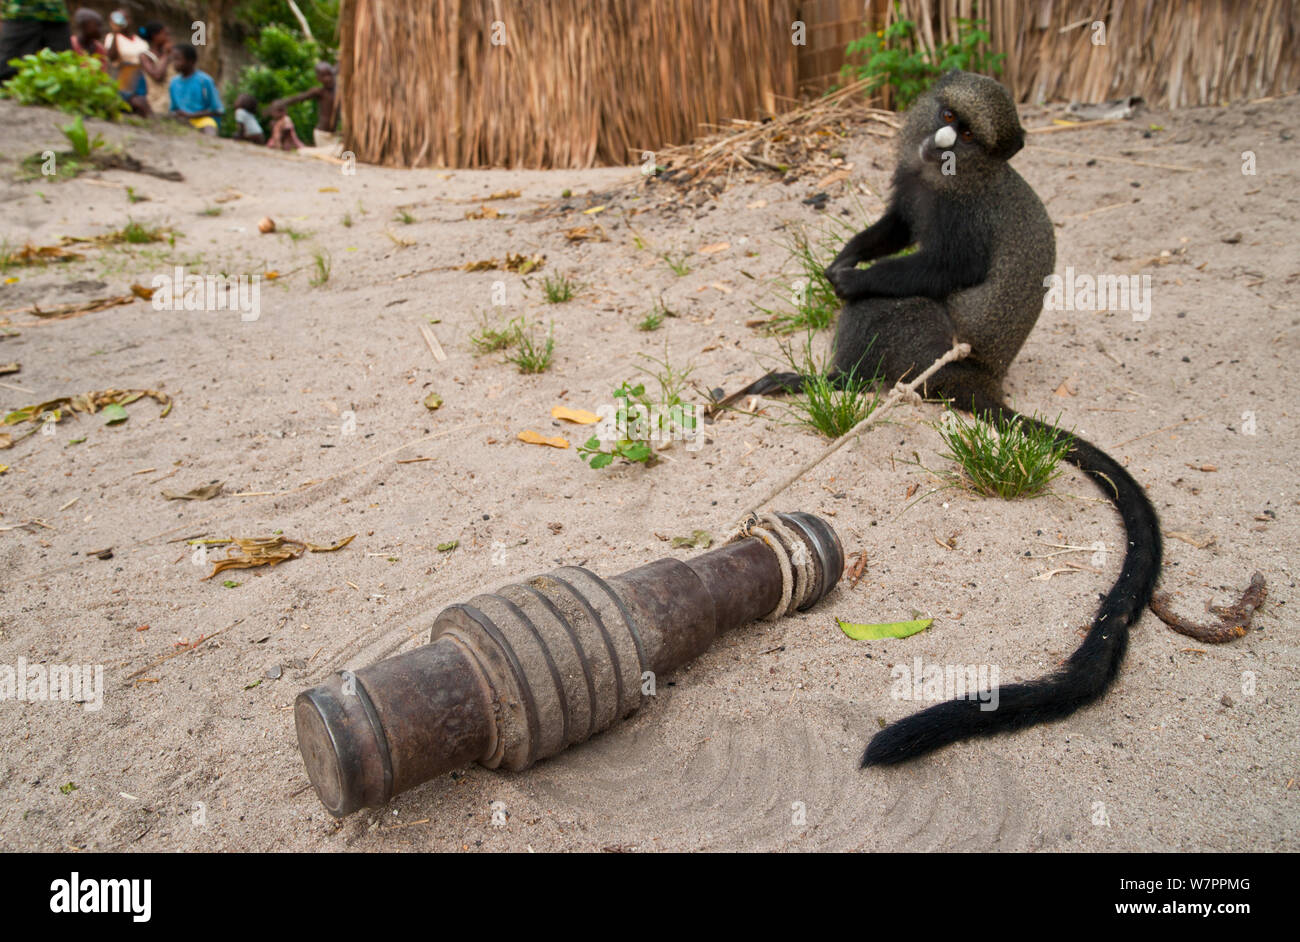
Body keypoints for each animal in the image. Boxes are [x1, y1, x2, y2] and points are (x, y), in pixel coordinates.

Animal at [717, 71, 1164, 763]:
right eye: (948, 115)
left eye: (971, 135)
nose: (943, 142)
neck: (945, 177)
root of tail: (981, 379)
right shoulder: (911, 183)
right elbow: (896, 224)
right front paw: (844, 258)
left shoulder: (964, 218)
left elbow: (945, 265)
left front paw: (849, 279)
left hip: (929, 344)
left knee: (893, 308)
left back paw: (829, 379)